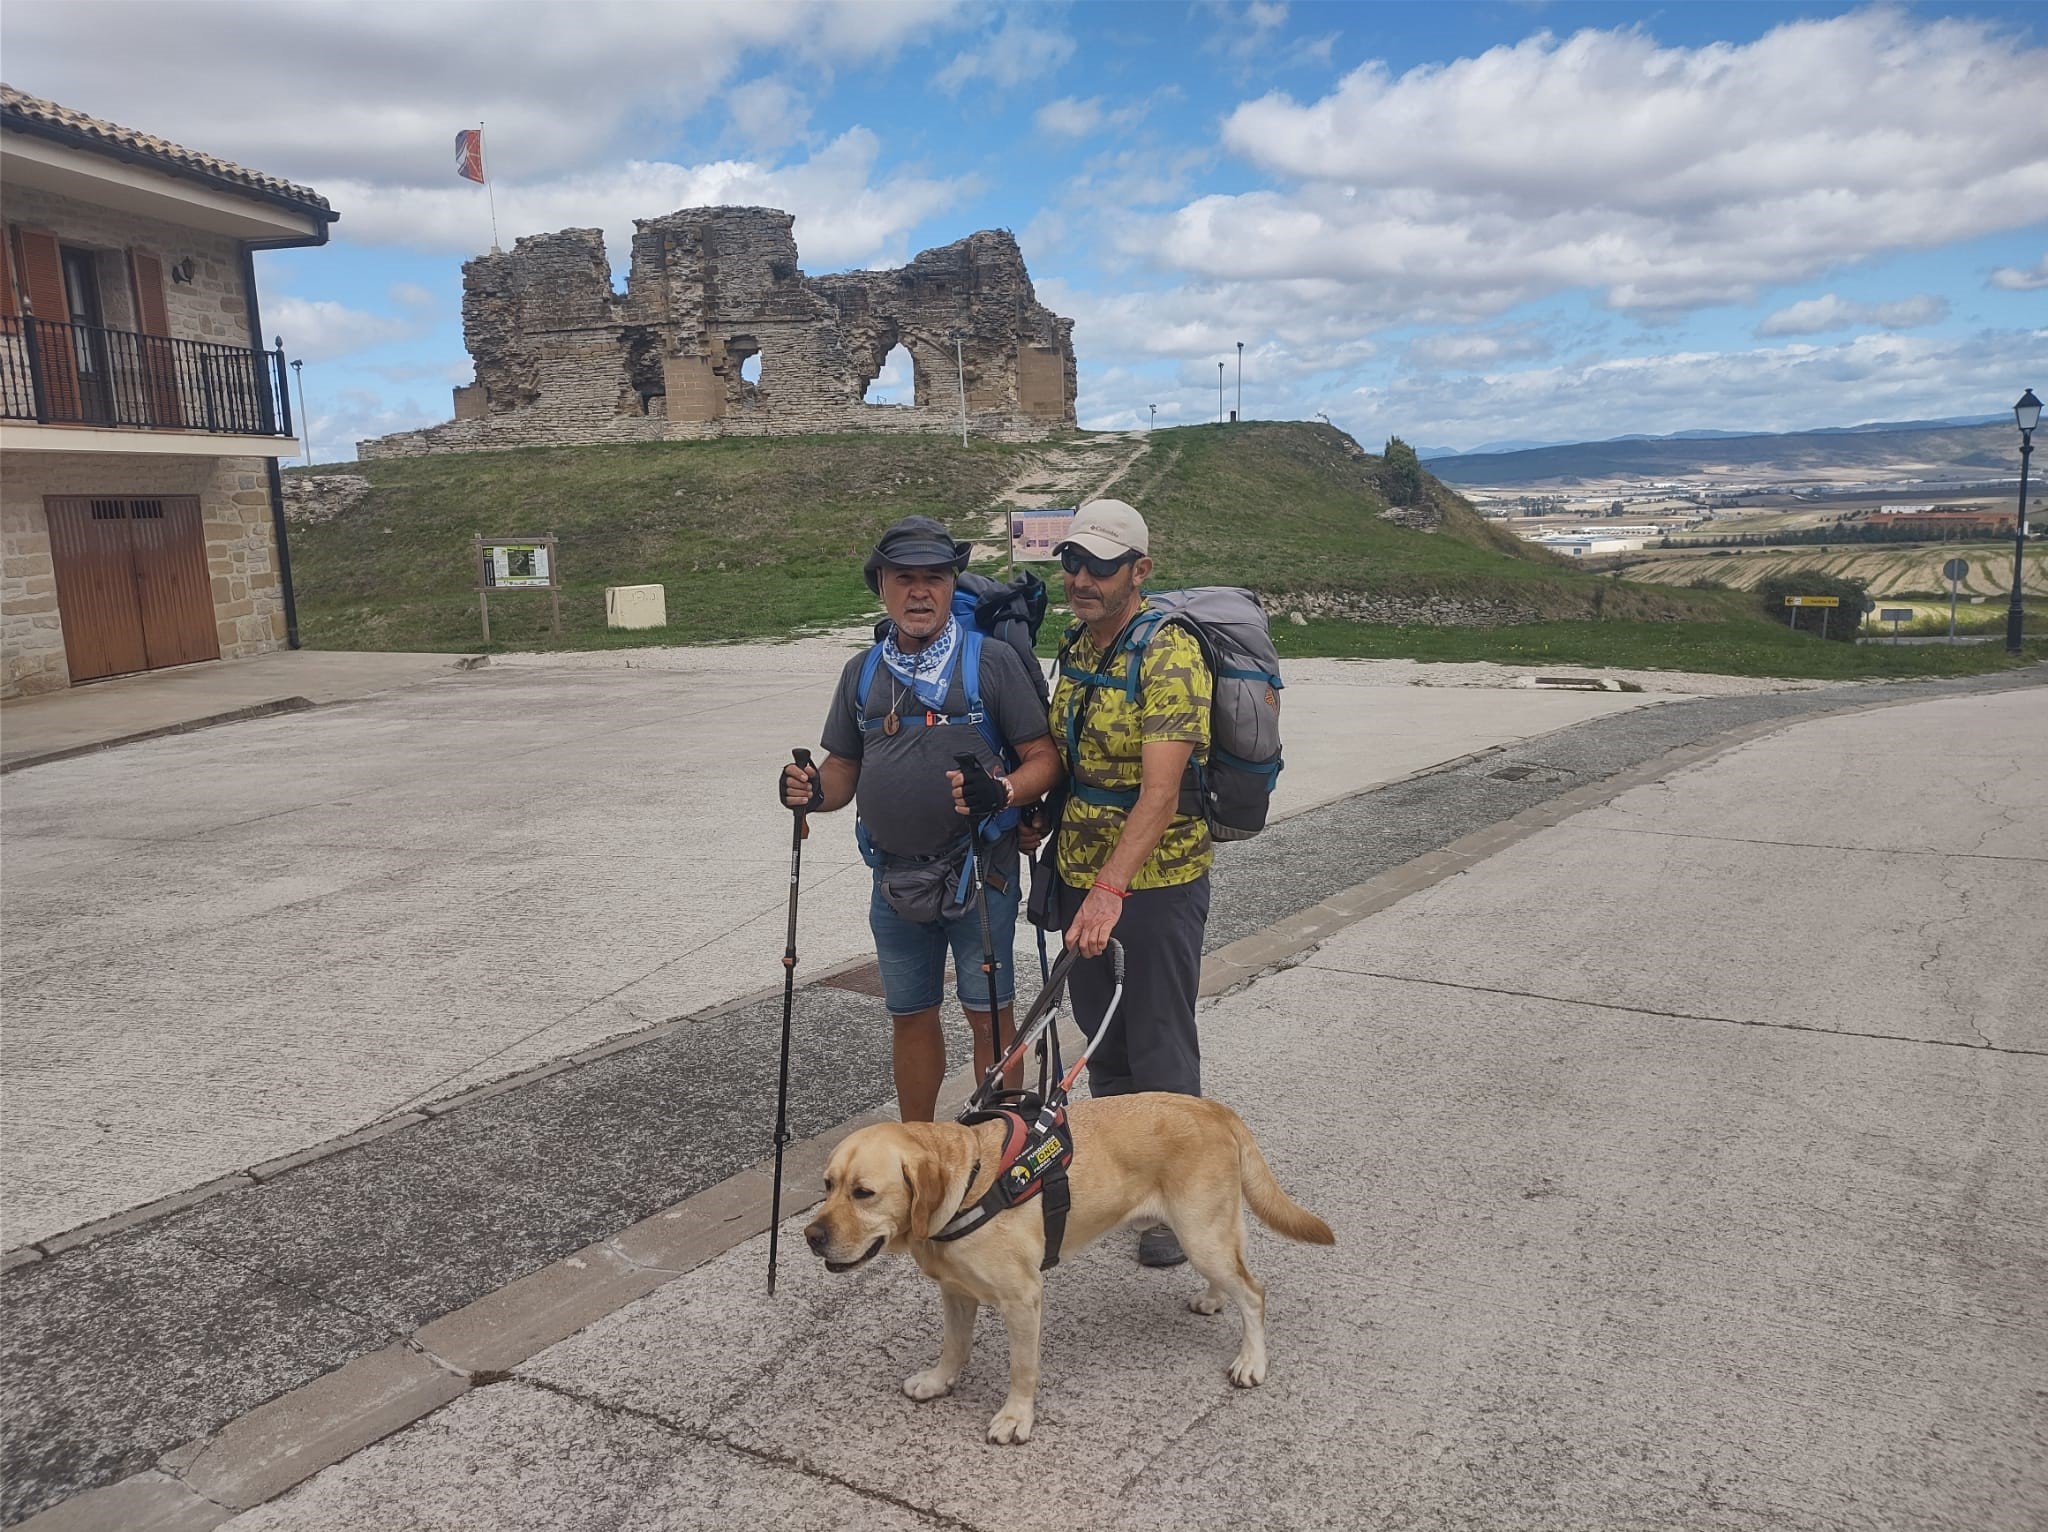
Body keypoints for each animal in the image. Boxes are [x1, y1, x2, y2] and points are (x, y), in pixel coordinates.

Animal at [806, 1097, 1335, 1441]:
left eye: (864, 1193)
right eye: (828, 1186)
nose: (812, 1237)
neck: (971, 1185)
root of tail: (1213, 1108)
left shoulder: (1022, 1298)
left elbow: (1022, 1367)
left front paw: (1016, 1418)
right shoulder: (957, 1293)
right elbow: (954, 1347)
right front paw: (939, 1381)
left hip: (1200, 1233)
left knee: (1254, 1292)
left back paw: (1252, 1360)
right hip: (1205, 1234)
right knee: (1235, 1278)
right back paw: (1213, 1298)